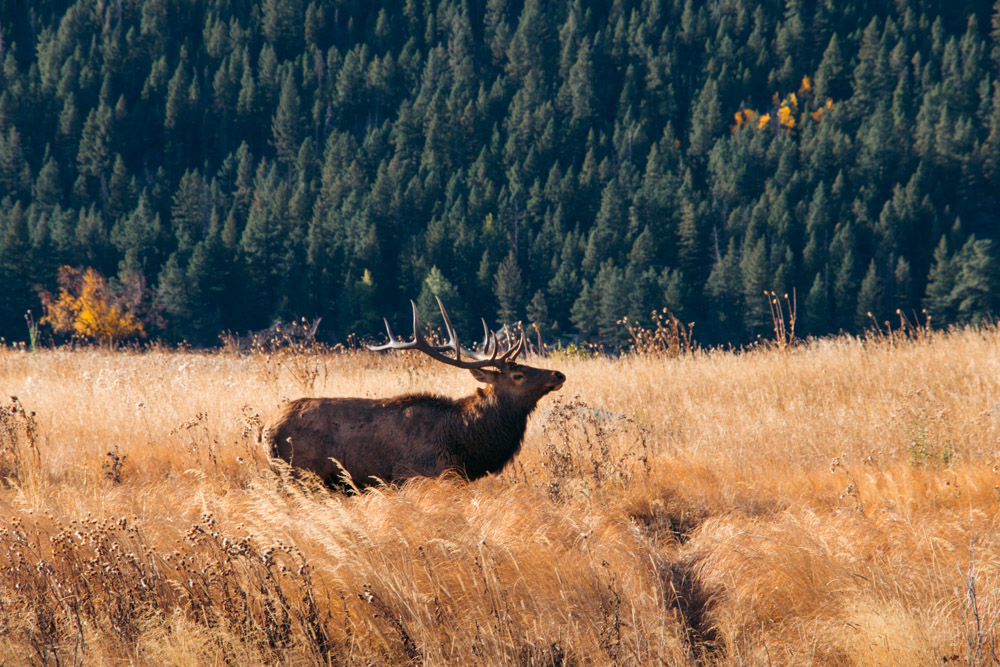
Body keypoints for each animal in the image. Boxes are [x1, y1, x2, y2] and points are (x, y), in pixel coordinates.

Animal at [262, 300, 568, 488]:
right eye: (518, 375)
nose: (558, 375)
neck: (465, 443)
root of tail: (264, 431)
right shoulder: (414, 474)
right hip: (300, 474)